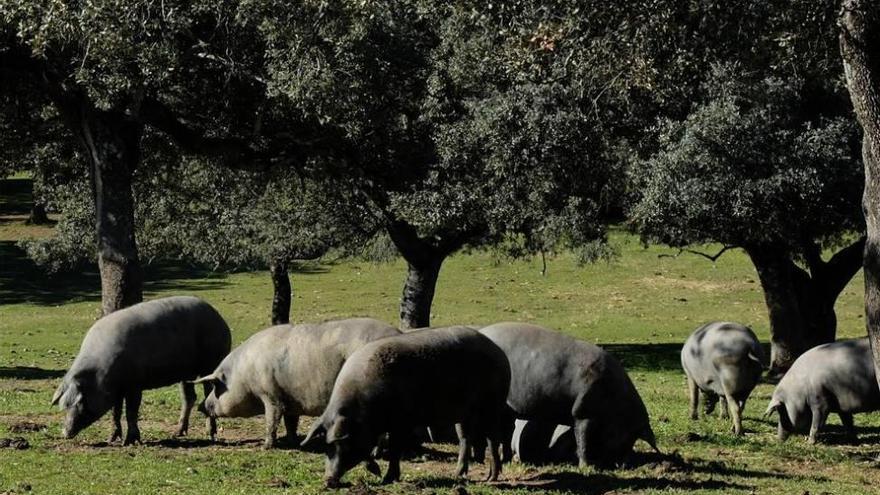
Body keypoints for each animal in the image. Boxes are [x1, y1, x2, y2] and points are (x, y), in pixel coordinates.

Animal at [50, 298, 230, 446]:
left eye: (80, 403)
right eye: (66, 405)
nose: (65, 433)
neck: (102, 374)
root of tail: (220, 318)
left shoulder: (134, 385)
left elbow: (131, 411)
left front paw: (130, 442)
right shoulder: (117, 390)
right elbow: (116, 412)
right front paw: (111, 439)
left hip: (210, 363)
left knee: (208, 396)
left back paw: (211, 435)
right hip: (186, 373)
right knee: (189, 398)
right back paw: (177, 433)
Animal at [194, 318, 400, 450]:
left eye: (216, 386)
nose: (200, 406)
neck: (243, 376)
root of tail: (398, 335)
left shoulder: (271, 394)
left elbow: (272, 420)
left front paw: (266, 447)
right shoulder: (290, 399)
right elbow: (290, 422)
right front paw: (292, 442)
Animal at [300, 328, 508, 486]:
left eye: (342, 445)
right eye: (327, 446)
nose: (328, 480)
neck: (363, 410)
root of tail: (498, 351)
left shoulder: (400, 422)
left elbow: (393, 449)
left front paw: (386, 479)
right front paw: (378, 473)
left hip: (492, 405)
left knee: (493, 439)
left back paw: (491, 478)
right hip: (463, 414)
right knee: (466, 438)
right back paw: (458, 475)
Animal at [478, 324, 656, 466]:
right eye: (627, 437)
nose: (622, 464)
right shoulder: (583, 410)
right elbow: (582, 439)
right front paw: (586, 467)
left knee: (507, 431)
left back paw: (506, 461)